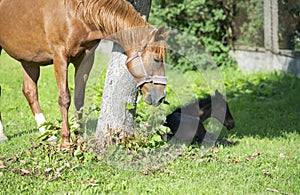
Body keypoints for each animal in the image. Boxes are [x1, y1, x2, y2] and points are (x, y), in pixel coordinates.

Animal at [0, 0, 169, 148]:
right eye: (157, 59)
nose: (160, 96)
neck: (76, 12)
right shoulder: (60, 57)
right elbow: (64, 98)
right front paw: (66, 141)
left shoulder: (85, 58)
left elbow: (78, 99)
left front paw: (79, 137)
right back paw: (3, 134)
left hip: (28, 60)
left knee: (30, 91)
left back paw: (46, 133)